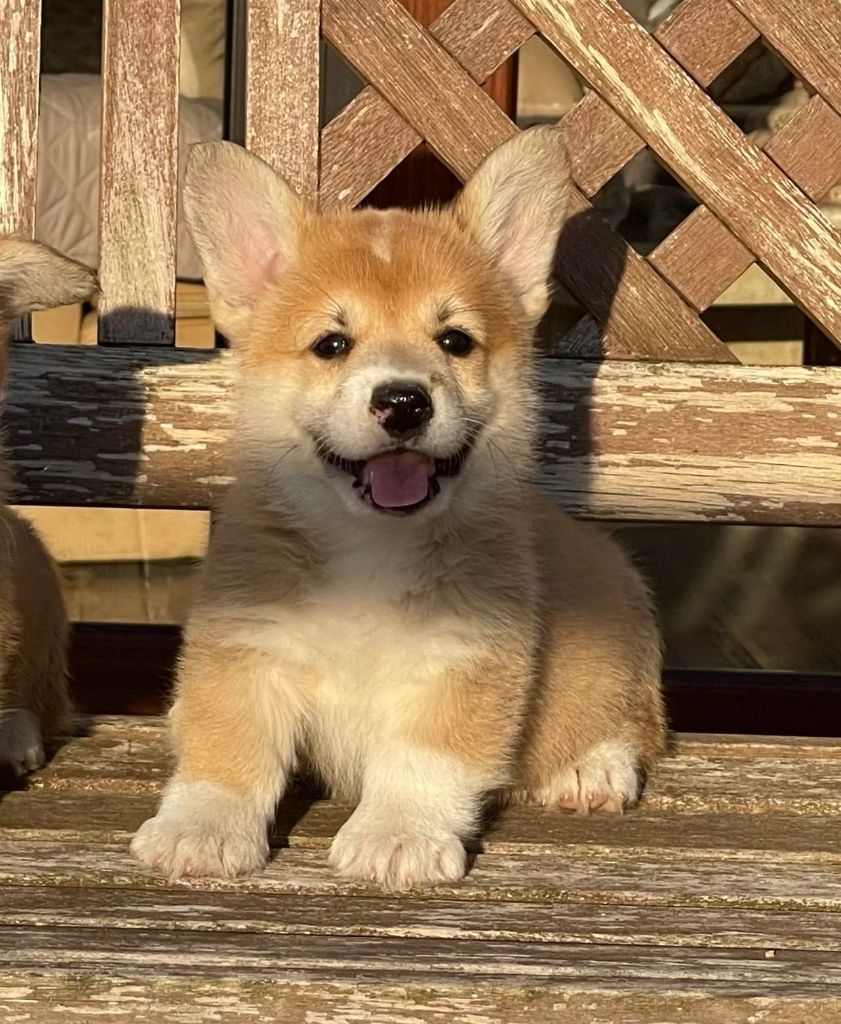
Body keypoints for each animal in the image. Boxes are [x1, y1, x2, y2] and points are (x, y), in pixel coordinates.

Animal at [133, 130, 663, 888]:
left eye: (454, 341)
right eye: (332, 344)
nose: (404, 401)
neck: (369, 546)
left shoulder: (459, 660)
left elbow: (422, 761)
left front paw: (396, 836)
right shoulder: (245, 648)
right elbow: (225, 746)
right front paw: (198, 829)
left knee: (632, 721)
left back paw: (591, 766)